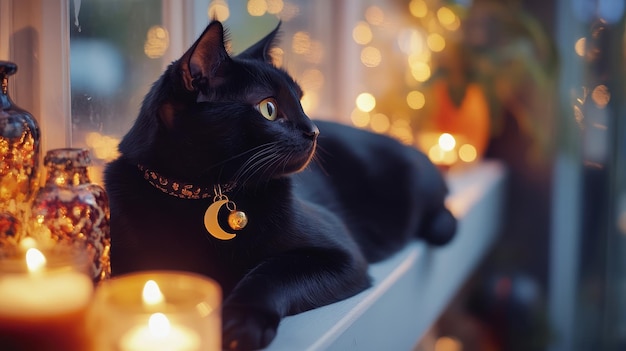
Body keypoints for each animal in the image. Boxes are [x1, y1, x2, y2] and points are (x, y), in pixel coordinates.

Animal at [103, 20, 454, 350]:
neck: (199, 196)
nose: (313, 131)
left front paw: (240, 324)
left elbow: (269, 273)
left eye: (300, 100)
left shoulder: (342, 252)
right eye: (268, 109)